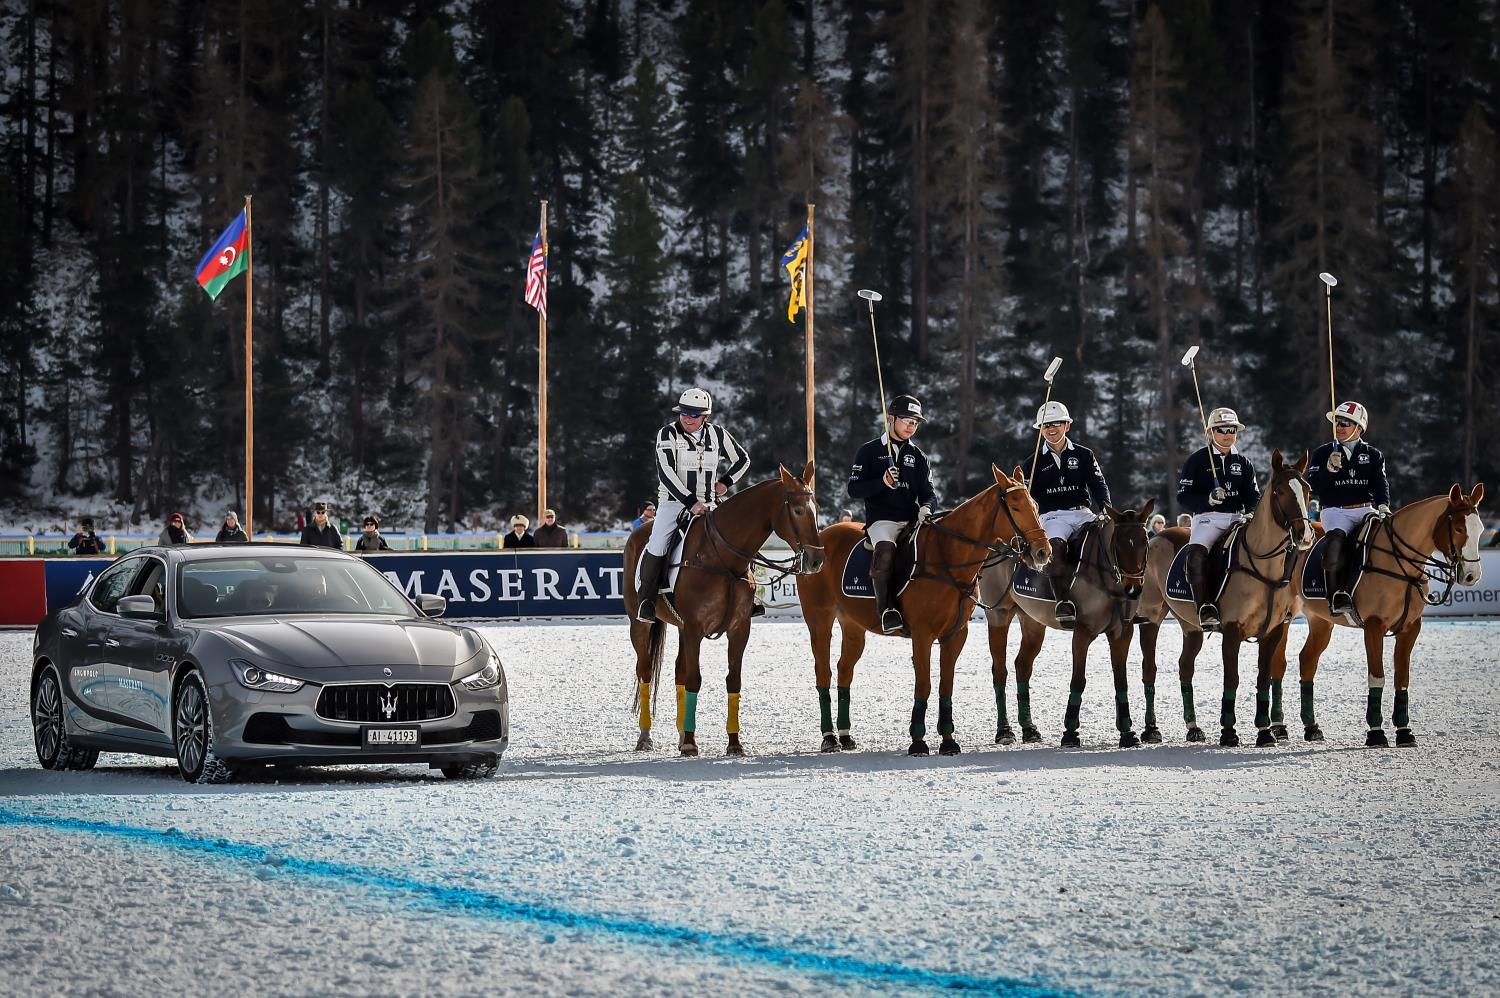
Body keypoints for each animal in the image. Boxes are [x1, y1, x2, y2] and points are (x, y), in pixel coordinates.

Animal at [627, 462, 828, 756]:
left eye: (817, 508)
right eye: (798, 510)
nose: (816, 560)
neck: (723, 559)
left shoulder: (738, 629)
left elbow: (733, 680)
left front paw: (733, 742)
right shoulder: (695, 628)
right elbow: (695, 679)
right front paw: (691, 743)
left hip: (681, 628)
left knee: (678, 670)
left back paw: (680, 733)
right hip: (640, 624)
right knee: (645, 671)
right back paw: (645, 736)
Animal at [798, 468, 1044, 756]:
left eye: (1036, 505)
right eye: (1015, 507)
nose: (1042, 551)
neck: (949, 557)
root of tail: (818, 542)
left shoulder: (955, 634)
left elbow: (945, 685)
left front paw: (948, 741)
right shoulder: (922, 634)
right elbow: (924, 684)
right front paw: (918, 741)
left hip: (853, 626)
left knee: (844, 669)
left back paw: (846, 736)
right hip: (819, 619)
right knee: (823, 671)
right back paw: (829, 738)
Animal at [972, 507, 1158, 747]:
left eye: (1145, 541)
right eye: (1118, 543)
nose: (1133, 589)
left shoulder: (1122, 633)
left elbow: (1121, 681)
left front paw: (1127, 733)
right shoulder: (1082, 632)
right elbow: (1078, 680)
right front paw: (1070, 733)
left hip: (1032, 621)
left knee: (1022, 665)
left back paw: (1029, 729)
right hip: (999, 615)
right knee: (999, 670)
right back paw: (1004, 730)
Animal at [1134, 447, 1314, 744]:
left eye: (1307, 489)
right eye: (1280, 491)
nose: (1305, 535)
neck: (1264, 566)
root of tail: (1156, 537)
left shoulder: (1274, 630)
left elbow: (1263, 677)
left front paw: (1265, 732)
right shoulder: (1231, 629)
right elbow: (1232, 678)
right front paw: (1229, 731)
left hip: (1191, 626)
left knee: (1185, 666)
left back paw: (1193, 727)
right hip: (1150, 615)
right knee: (1149, 668)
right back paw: (1151, 729)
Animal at [1290, 483, 1488, 747]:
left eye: (1481, 529)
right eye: (1458, 528)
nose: (1471, 576)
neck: (1400, 565)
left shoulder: (1411, 627)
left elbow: (1402, 678)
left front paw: (1404, 731)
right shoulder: (1374, 626)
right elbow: (1377, 677)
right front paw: (1375, 732)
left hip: (1320, 622)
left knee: (1307, 660)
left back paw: (1311, 727)